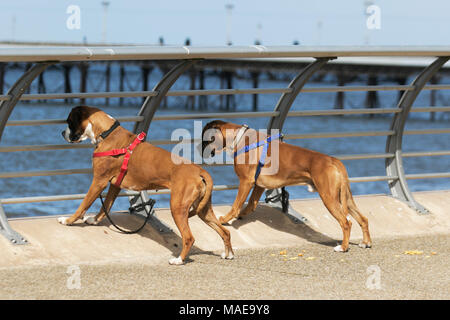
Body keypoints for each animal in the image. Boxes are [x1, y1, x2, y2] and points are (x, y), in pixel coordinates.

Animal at [57, 105, 234, 264]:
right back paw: (228, 254)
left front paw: (68, 220)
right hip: (204, 210)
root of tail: (200, 171)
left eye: (69, 121)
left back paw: (179, 260)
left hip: (178, 207)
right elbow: (105, 205)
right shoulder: (115, 185)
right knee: (225, 231)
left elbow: (83, 204)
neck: (107, 133)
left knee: (189, 237)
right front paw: (94, 220)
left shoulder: (98, 182)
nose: (62, 133)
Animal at [202, 120, 370, 252]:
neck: (239, 138)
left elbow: (236, 204)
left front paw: (225, 219)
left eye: (205, 139)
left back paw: (343, 247)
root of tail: (334, 160)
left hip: (329, 197)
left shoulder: (246, 181)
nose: (199, 148)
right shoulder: (259, 185)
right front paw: (242, 214)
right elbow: (251, 204)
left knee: (346, 222)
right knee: (363, 219)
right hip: (346, 198)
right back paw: (366, 242)